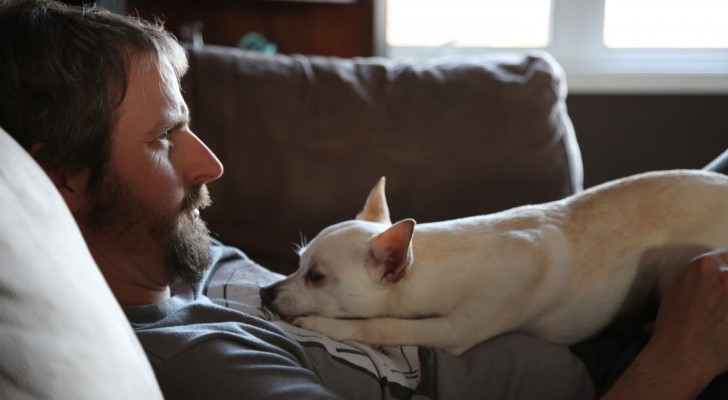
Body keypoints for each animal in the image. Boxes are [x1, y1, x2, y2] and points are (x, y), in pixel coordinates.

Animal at [260, 170, 728, 354]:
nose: (265, 292)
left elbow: (382, 326)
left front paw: (321, 325)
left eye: (316, 277)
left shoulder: (454, 330)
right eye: (296, 264)